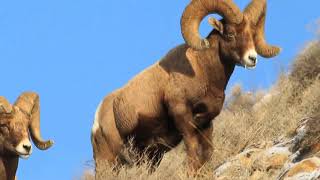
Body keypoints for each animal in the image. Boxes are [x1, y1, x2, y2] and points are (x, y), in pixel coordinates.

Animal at [91, 0, 282, 175]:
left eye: (251, 34)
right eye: (230, 34)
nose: (252, 58)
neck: (203, 70)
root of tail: (98, 118)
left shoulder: (206, 124)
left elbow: (207, 152)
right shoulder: (183, 118)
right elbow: (193, 149)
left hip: (150, 157)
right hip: (109, 161)